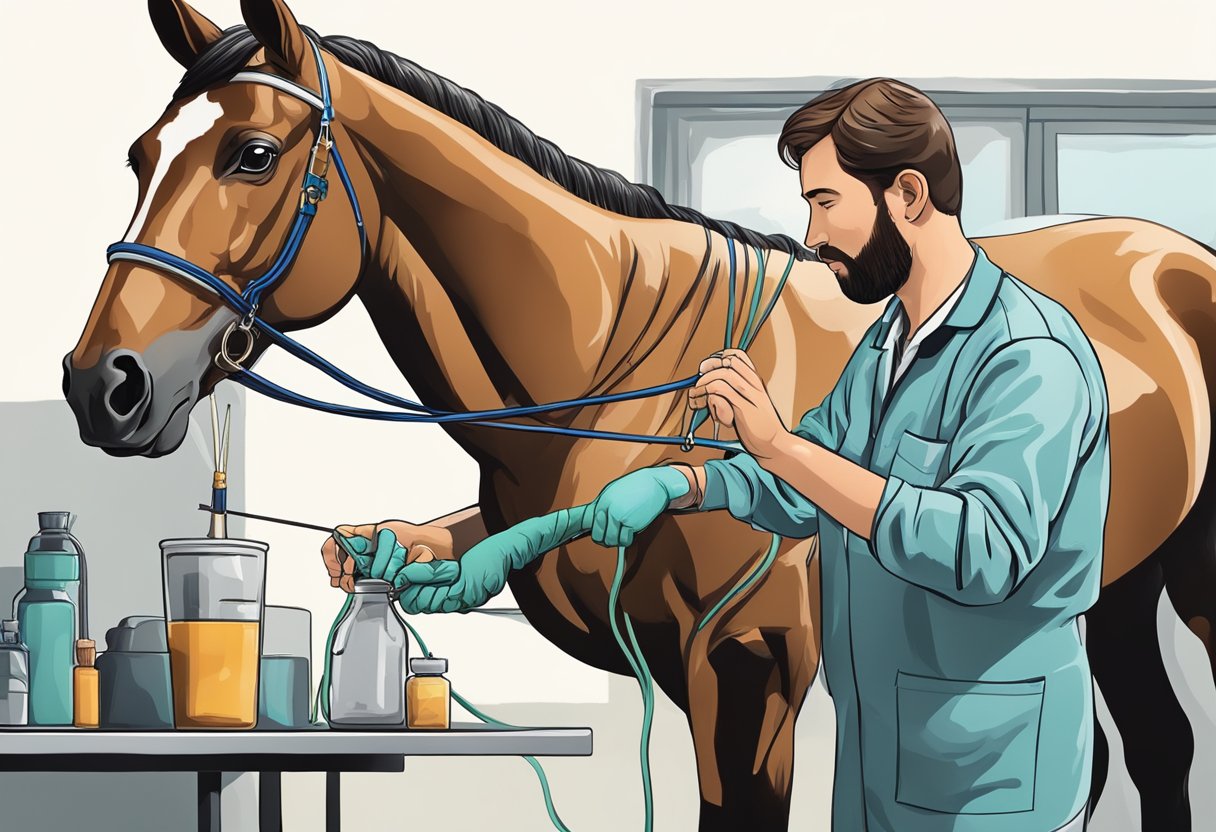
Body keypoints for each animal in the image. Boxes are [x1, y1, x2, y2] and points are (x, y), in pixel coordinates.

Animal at [61, 0, 1216, 827]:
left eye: (251, 155)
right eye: (139, 155)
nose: (103, 383)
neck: (622, 368)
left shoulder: (749, 674)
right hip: (1117, 588)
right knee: (1153, 748)